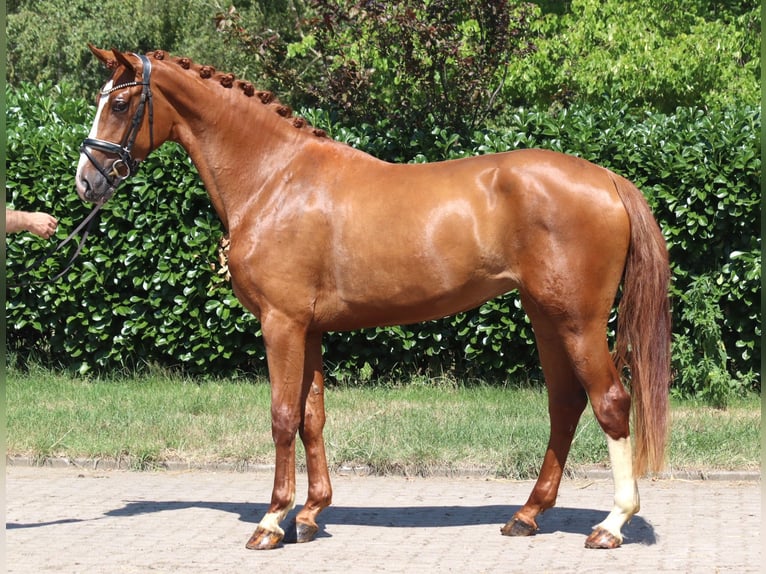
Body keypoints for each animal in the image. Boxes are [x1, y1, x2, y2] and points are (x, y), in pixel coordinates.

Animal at [75, 46, 671, 550]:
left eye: (121, 103)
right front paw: (311, 514)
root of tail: (607, 178)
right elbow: (312, 416)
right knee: (565, 404)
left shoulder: (281, 323)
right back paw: (526, 516)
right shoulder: (309, 329)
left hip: (577, 321)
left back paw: (612, 524)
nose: (87, 181)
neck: (275, 178)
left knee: (610, 402)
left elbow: (282, 415)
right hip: (546, 317)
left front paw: (272, 521)